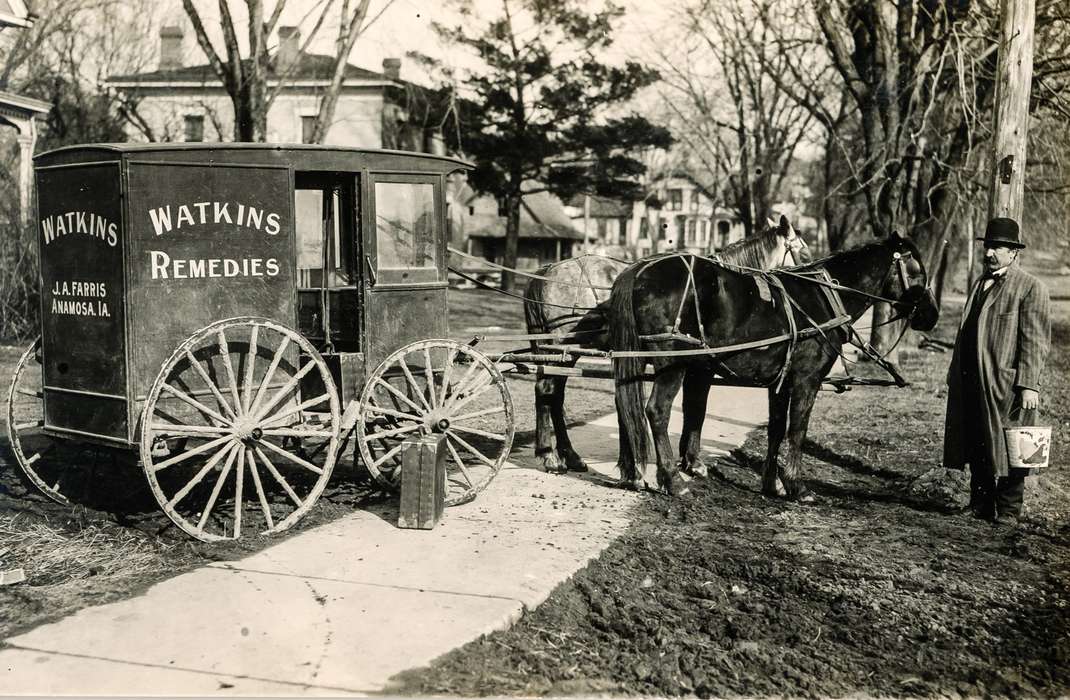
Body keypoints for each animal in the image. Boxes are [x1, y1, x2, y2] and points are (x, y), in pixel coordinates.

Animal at [522, 216, 804, 475]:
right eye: (802, 249)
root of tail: (545, 273)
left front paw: (681, 458)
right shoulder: (701, 366)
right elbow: (696, 408)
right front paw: (692, 460)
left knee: (551, 394)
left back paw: (565, 455)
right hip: (564, 348)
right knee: (548, 391)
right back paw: (552, 455)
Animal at [612, 232, 937, 498]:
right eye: (918, 272)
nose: (931, 315)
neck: (824, 295)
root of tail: (637, 270)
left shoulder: (779, 382)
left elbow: (777, 428)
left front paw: (772, 483)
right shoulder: (807, 379)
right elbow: (798, 430)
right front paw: (796, 485)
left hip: (634, 361)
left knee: (625, 405)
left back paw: (634, 473)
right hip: (673, 364)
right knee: (657, 412)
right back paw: (672, 480)